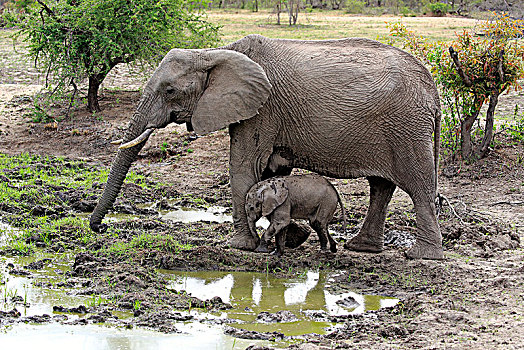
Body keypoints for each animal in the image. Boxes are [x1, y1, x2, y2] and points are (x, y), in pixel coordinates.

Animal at [90, 34, 442, 260]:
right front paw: (289, 240)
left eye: (169, 90)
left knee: (418, 185)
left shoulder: (262, 108)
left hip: (407, 126)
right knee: (381, 186)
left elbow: (245, 167)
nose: (98, 228)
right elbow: (273, 171)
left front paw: (241, 247)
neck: (215, 53)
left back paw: (422, 255)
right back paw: (361, 248)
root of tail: (434, 92)